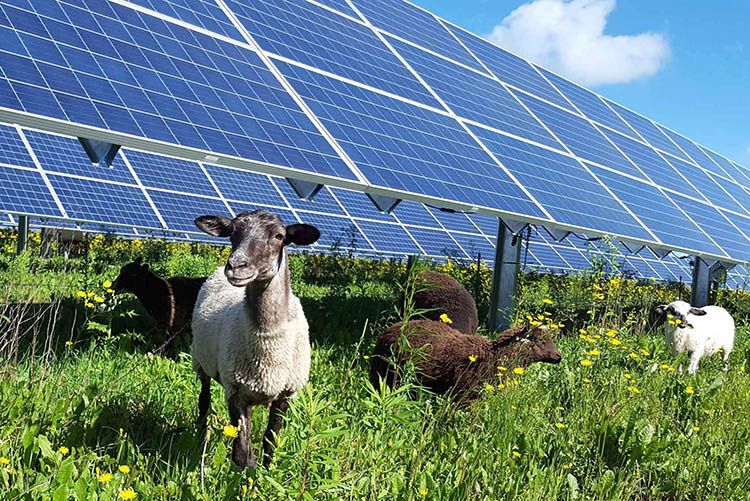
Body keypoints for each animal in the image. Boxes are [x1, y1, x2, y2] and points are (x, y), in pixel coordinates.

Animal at [191, 210, 320, 468]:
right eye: (231, 232)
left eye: (279, 236)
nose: (235, 266)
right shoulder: (235, 390)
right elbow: (242, 454)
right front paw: (245, 476)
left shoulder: (286, 393)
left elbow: (271, 442)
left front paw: (267, 473)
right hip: (201, 362)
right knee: (204, 399)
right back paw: (200, 437)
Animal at [370, 320, 564, 398]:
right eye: (539, 340)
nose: (559, 356)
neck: (493, 356)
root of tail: (385, 332)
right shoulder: (465, 396)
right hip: (385, 375)